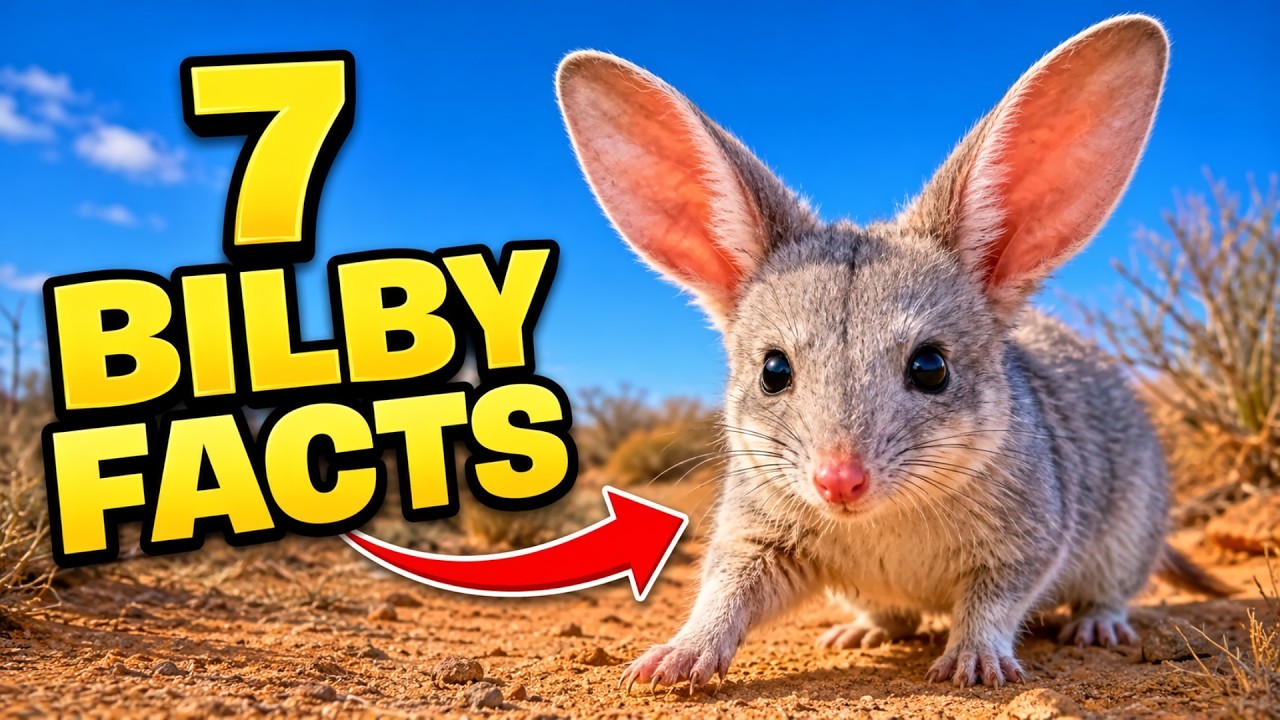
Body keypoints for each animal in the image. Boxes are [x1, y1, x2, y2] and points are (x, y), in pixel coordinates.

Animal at [555, 14, 1229, 690]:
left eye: (931, 367)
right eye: (774, 370)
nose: (838, 482)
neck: (885, 516)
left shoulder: (1028, 541)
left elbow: (992, 604)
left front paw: (975, 661)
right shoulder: (758, 535)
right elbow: (726, 593)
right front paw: (677, 656)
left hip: (1127, 537)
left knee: (1111, 592)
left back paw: (1097, 625)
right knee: (890, 616)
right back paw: (864, 630)